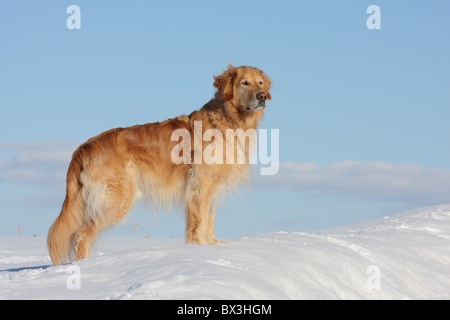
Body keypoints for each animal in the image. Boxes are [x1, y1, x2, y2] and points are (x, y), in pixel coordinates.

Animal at [46, 65, 270, 264]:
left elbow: (210, 220)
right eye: (244, 83)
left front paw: (213, 245)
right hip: (116, 200)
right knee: (82, 234)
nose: (262, 96)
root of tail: (83, 147)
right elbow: (201, 221)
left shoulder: (211, 187)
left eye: (260, 83)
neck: (228, 119)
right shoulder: (202, 185)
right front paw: (202, 248)